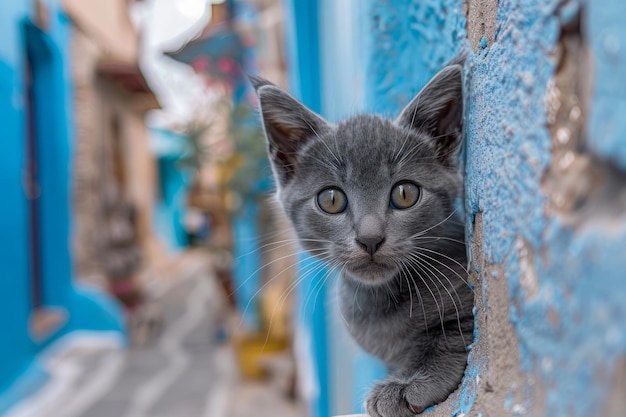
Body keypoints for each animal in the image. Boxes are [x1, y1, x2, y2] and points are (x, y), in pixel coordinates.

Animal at [251, 61, 470, 416]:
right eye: (331, 200)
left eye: (405, 194)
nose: (370, 238)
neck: (381, 299)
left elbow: (448, 336)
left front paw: (406, 384)